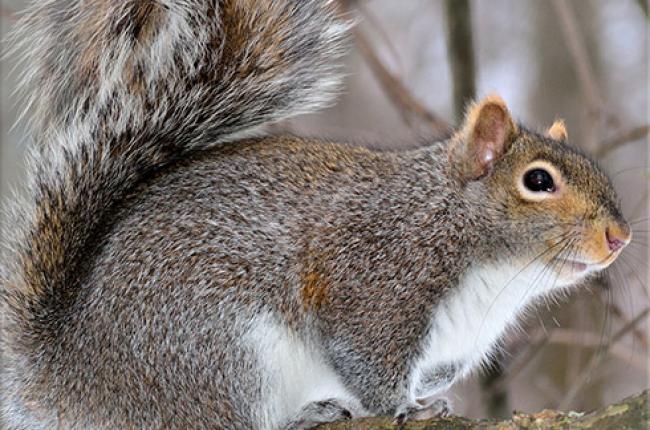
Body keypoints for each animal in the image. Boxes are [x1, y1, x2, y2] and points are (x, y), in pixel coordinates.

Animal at [0, 0, 628, 430]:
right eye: (538, 181)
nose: (618, 237)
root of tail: (72, 377)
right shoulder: (375, 278)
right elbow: (366, 361)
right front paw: (406, 407)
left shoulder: (453, 348)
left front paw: (430, 398)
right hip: (216, 352)